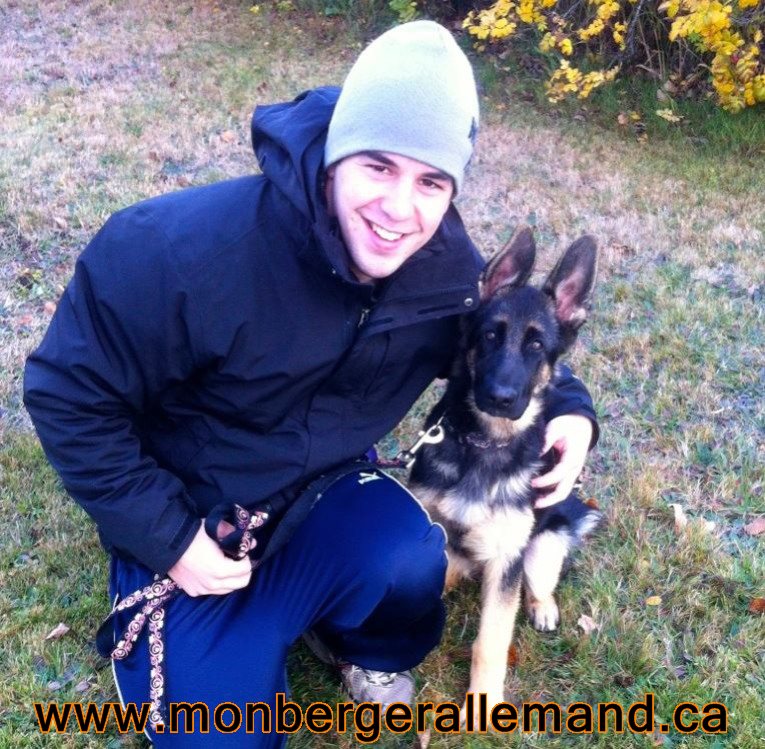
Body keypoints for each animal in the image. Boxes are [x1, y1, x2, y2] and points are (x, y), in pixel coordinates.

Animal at [409, 227, 602, 717]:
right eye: (490, 336)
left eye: (536, 346)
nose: (499, 398)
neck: (485, 445)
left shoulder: (506, 559)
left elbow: (491, 642)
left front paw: (480, 706)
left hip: (541, 546)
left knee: (539, 582)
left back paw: (542, 606)